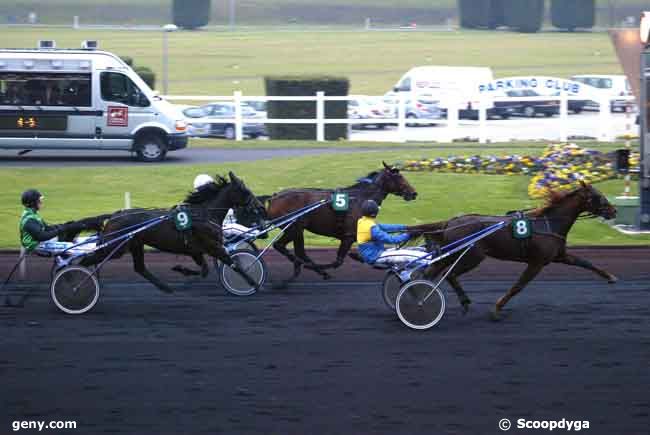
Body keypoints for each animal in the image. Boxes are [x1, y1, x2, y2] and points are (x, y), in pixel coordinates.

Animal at [266, 163, 418, 286]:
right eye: (399, 177)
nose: (413, 193)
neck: (361, 199)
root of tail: (274, 197)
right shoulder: (348, 236)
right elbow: (338, 261)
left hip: (298, 229)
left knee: (300, 252)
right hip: (293, 228)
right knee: (280, 245)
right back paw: (298, 268)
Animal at [408, 181, 616, 320]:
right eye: (598, 196)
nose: (613, 211)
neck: (548, 223)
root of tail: (450, 222)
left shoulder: (559, 256)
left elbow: (585, 262)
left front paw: (611, 277)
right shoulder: (537, 262)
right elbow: (518, 286)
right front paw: (496, 309)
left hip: (453, 253)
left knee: (431, 273)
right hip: (472, 256)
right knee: (449, 275)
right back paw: (458, 301)